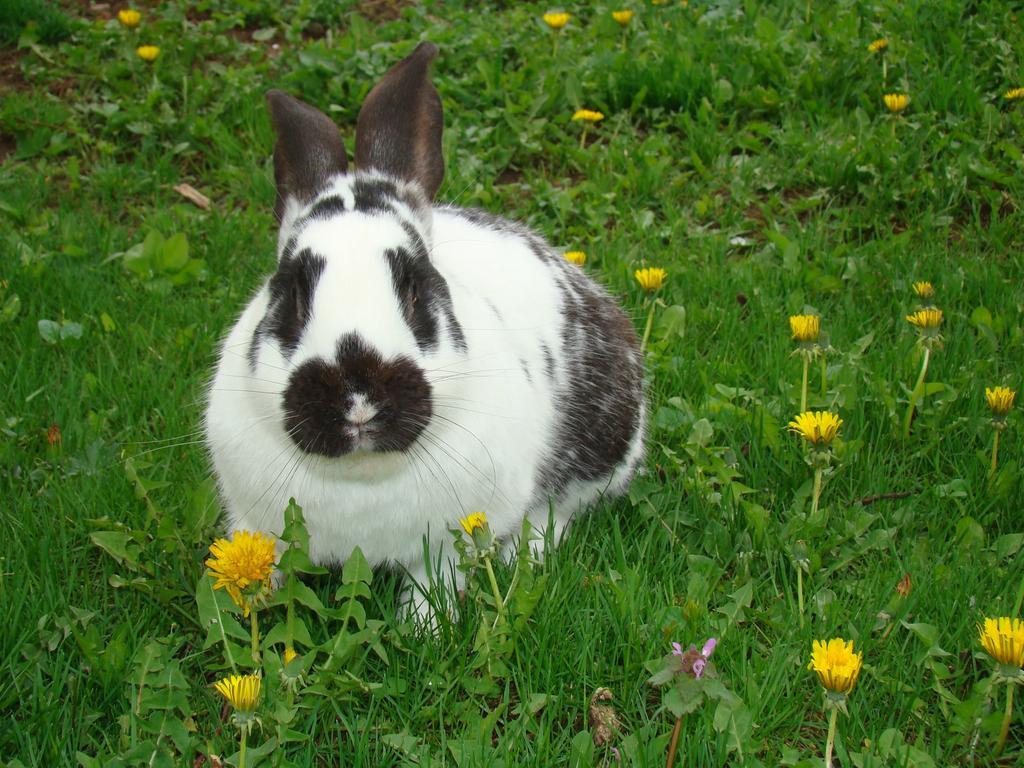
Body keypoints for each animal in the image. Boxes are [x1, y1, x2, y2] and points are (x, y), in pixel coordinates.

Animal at [203, 41, 643, 618]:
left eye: (415, 290)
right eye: (292, 295)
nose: (358, 395)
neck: (363, 479)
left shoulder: (451, 538)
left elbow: (432, 582)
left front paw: (423, 627)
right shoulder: (253, 519)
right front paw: (239, 611)